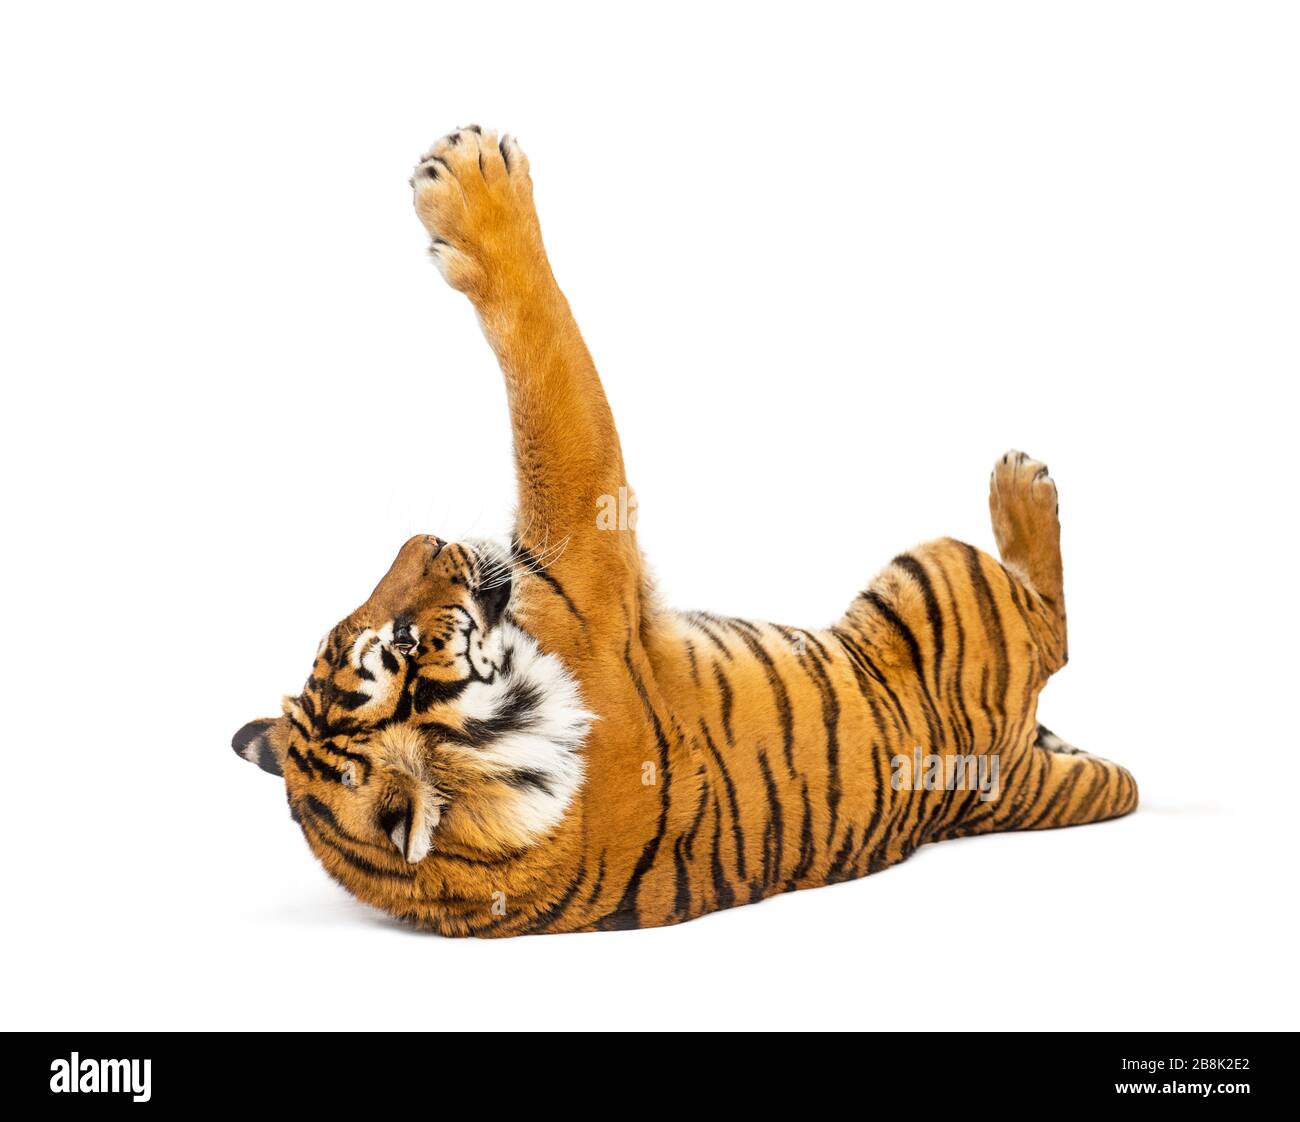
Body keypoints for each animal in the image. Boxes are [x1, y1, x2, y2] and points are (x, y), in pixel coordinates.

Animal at [232, 125, 1138, 936]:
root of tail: (999, 776)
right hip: (933, 572)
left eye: (367, 626)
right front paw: (476, 180)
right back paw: (1019, 480)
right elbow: (548, 359)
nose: (422, 541)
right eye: (398, 646)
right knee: (1054, 634)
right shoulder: (590, 555)